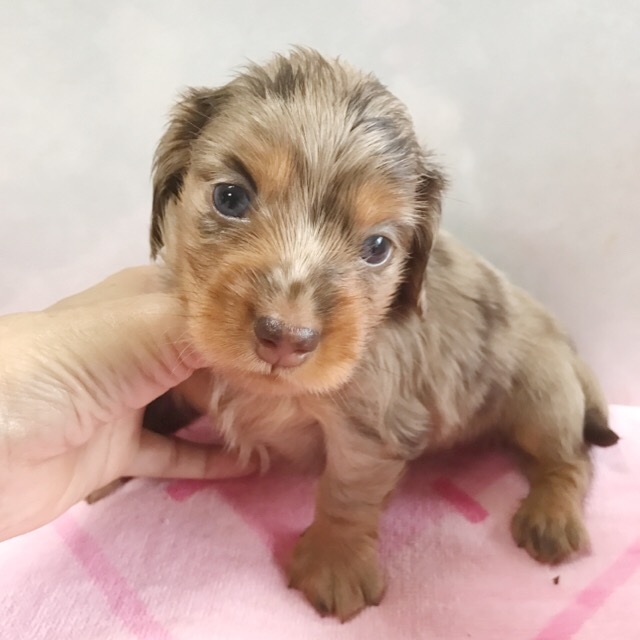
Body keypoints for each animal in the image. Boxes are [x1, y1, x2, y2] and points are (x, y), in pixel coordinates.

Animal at [145, 48, 618, 621]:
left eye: (377, 247)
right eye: (231, 197)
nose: (286, 338)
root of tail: (571, 352)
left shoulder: (373, 427)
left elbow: (347, 493)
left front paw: (335, 564)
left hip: (543, 401)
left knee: (570, 458)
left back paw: (551, 516)